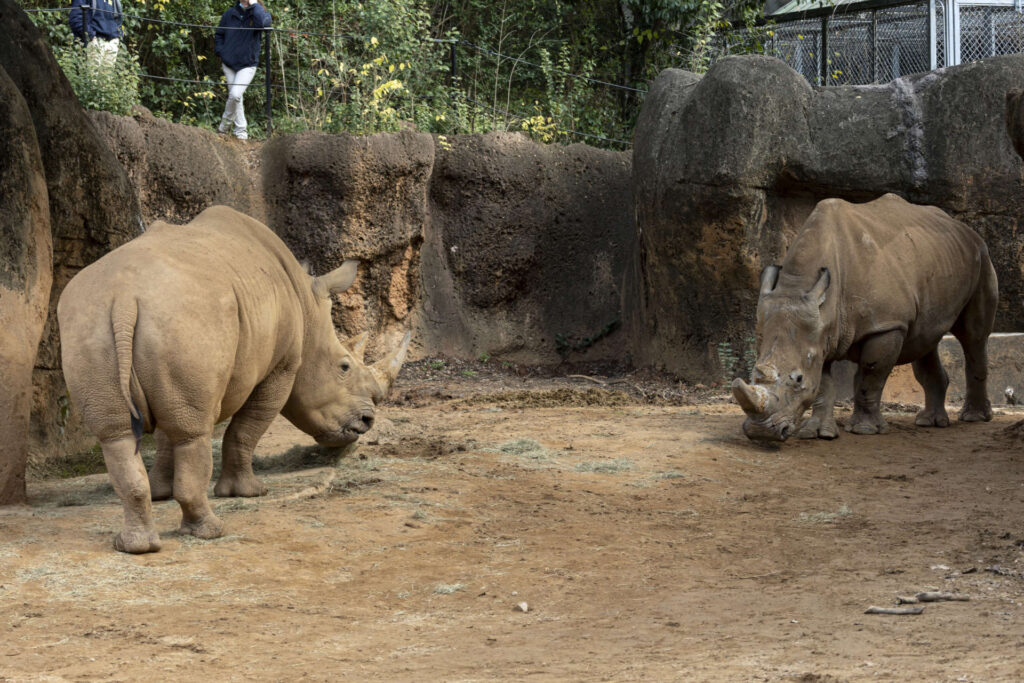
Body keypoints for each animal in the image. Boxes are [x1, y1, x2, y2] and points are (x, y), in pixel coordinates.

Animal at [58, 206, 410, 553]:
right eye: (344, 367)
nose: (367, 421)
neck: (306, 306)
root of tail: (124, 299)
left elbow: (167, 437)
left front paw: (162, 492)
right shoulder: (282, 367)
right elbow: (246, 428)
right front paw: (248, 492)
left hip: (93, 323)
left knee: (118, 434)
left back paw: (135, 546)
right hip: (187, 318)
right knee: (193, 433)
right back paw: (210, 531)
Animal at [732, 194, 997, 442]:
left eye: (798, 379)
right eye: (754, 373)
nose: (761, 432)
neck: (800, 286)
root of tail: (963, 228)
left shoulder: (885, 325)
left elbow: (871, 377)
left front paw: (865, 430)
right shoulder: (820, 332)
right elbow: (823, 385)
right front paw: (817, 433)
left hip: (982, 256)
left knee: (973, 336)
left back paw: (973, 417)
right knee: (925, 340)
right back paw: (928, 422)